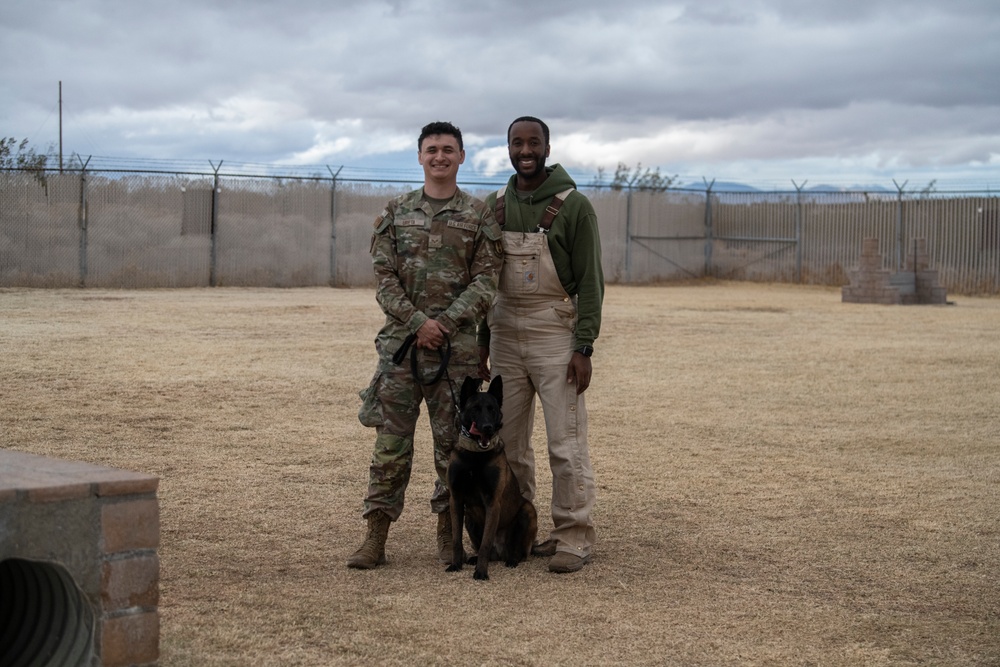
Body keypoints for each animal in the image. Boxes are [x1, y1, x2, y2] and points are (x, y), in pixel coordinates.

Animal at [448, 376, 536, 580]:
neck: (475, 457)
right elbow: (456, 539)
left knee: (518, 552)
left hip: (528, 510)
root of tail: (501, 551)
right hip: (469, 519)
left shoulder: (492, 503)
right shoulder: (455, 500)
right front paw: (456, 564)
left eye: (492, 409)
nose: (487, 428)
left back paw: (512, 559)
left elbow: (485, 544)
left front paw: (481, 572)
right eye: (475, 409)